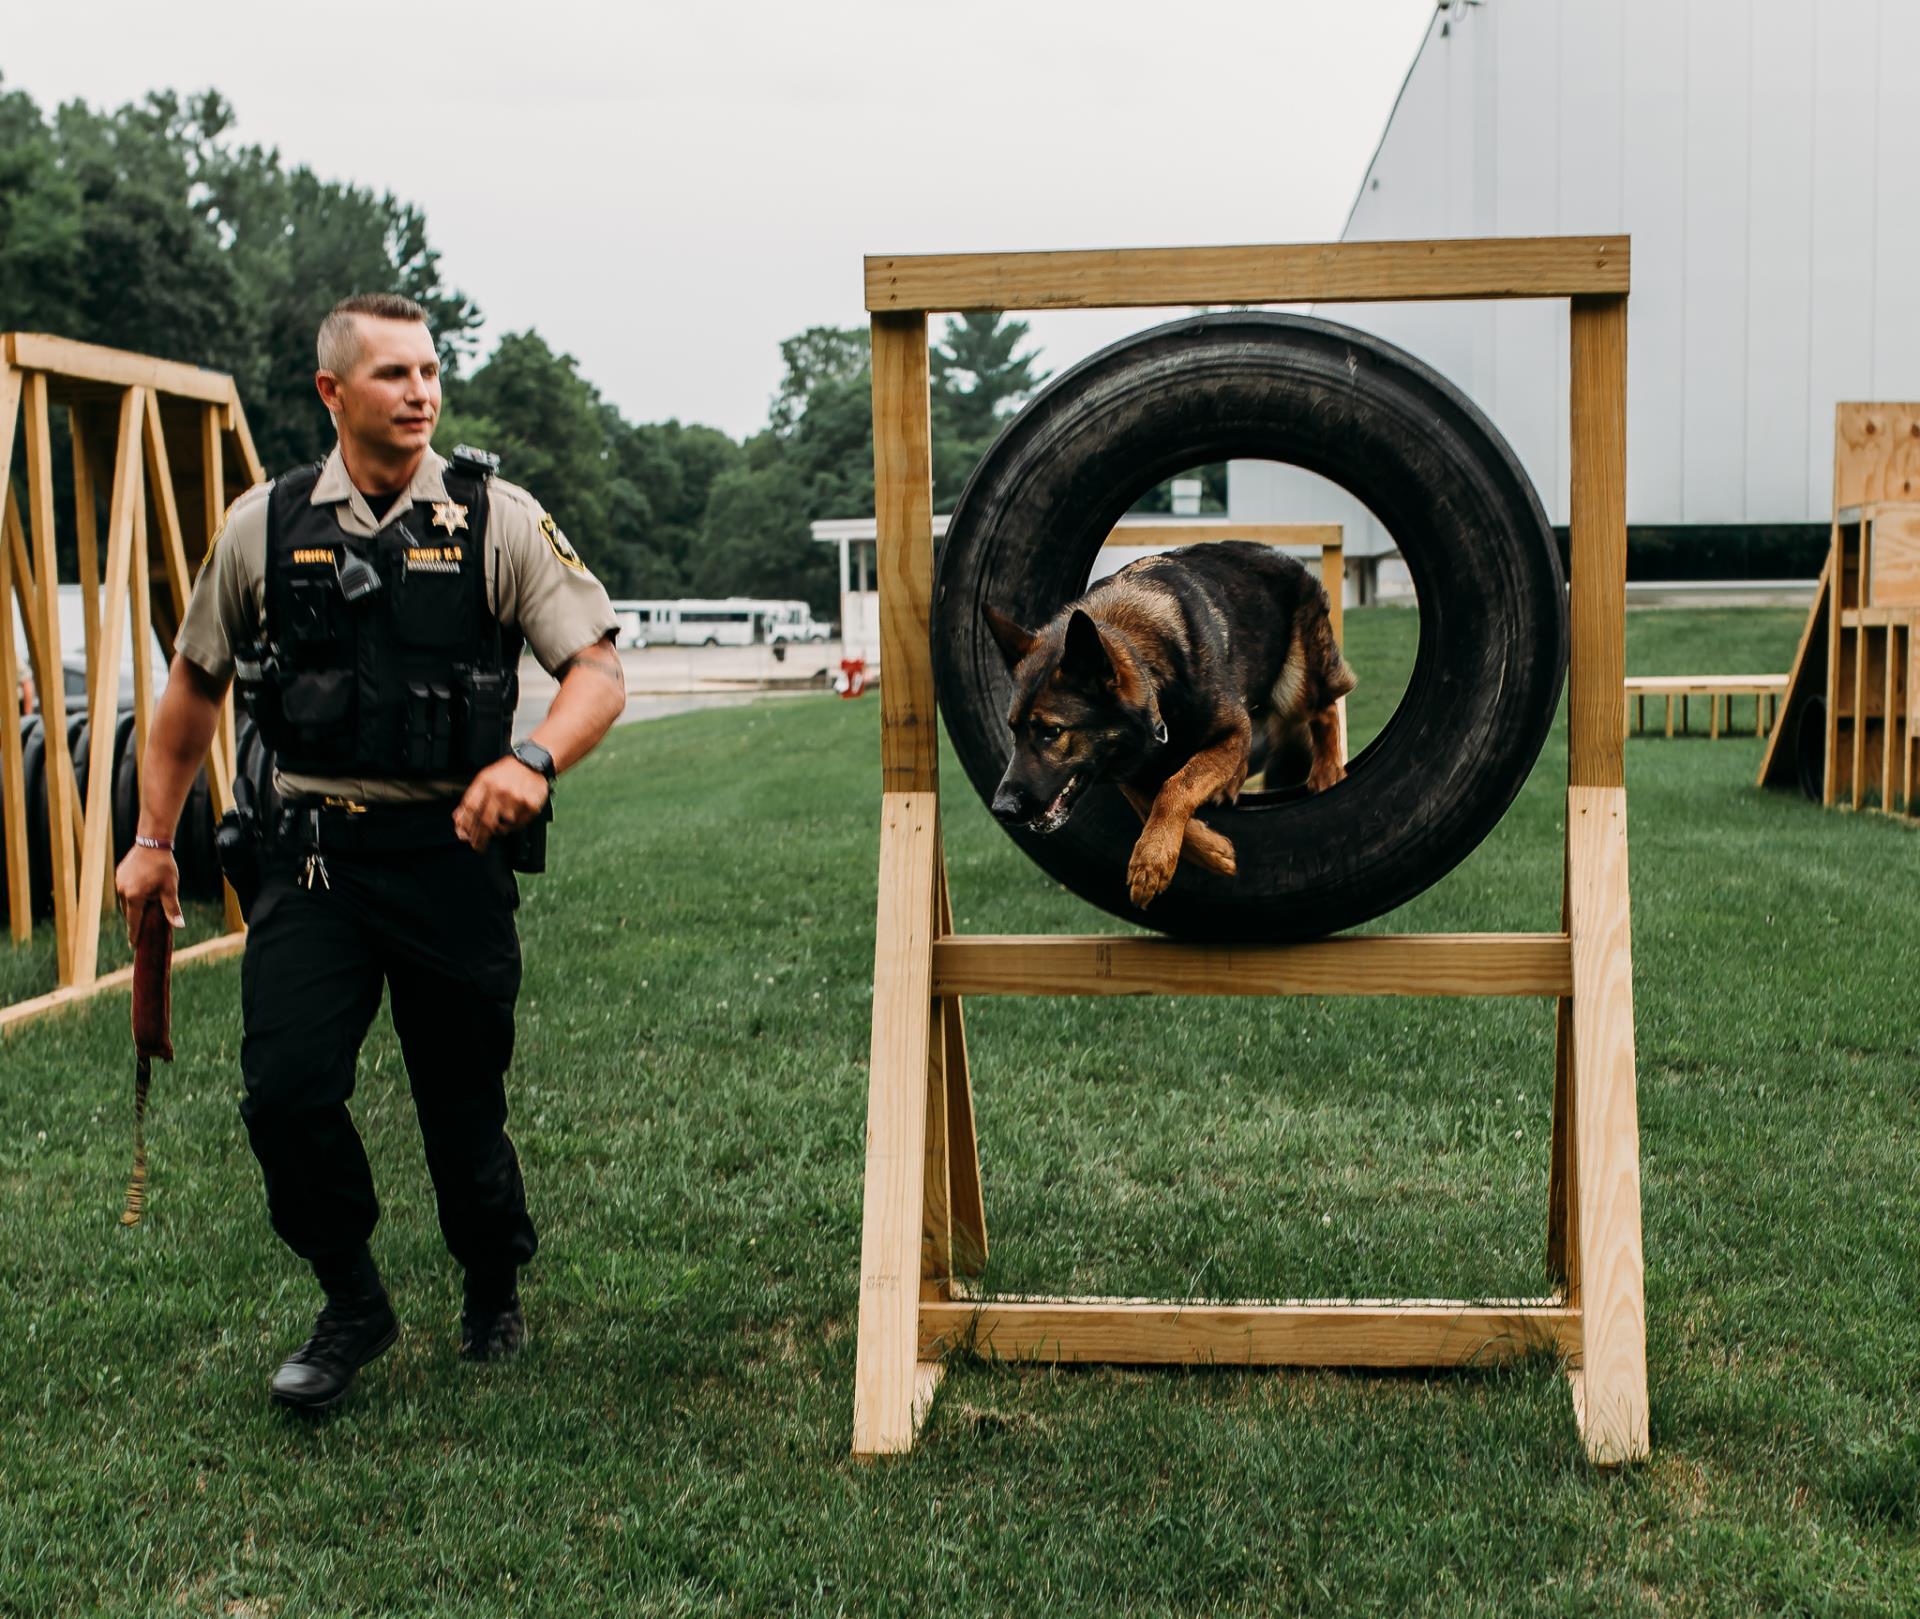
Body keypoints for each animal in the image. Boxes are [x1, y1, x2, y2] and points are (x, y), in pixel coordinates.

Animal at [990, 549, 1351, 910]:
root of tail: (1285, 558)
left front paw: (1151, 860)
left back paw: (1327, 769)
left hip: (1293, 688)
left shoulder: (1233, 730)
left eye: (1052, 731)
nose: (1002, 810)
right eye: (1013, 731)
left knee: (1325, 710)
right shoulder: (1131, 767)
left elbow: (1175, 788)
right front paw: (1208, 851)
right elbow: (1148, 803)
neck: (1146, 667)